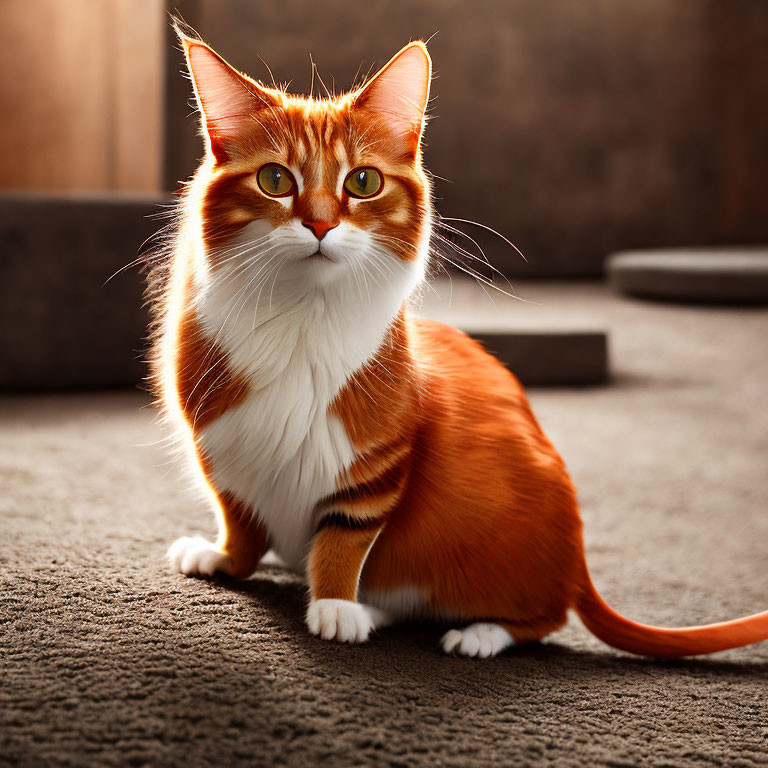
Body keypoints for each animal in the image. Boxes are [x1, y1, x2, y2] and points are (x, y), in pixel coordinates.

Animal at [153, 27, 764, 656]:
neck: (302, 316)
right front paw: (226, 558)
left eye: (362, 182)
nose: (320, 225)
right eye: (275, 179)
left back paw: (473, 633)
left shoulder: (379, 467)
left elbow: (344, 540)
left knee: (546, 617)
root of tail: (577, 566)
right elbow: (239, 521)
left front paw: (335, 605)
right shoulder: (219, 448)